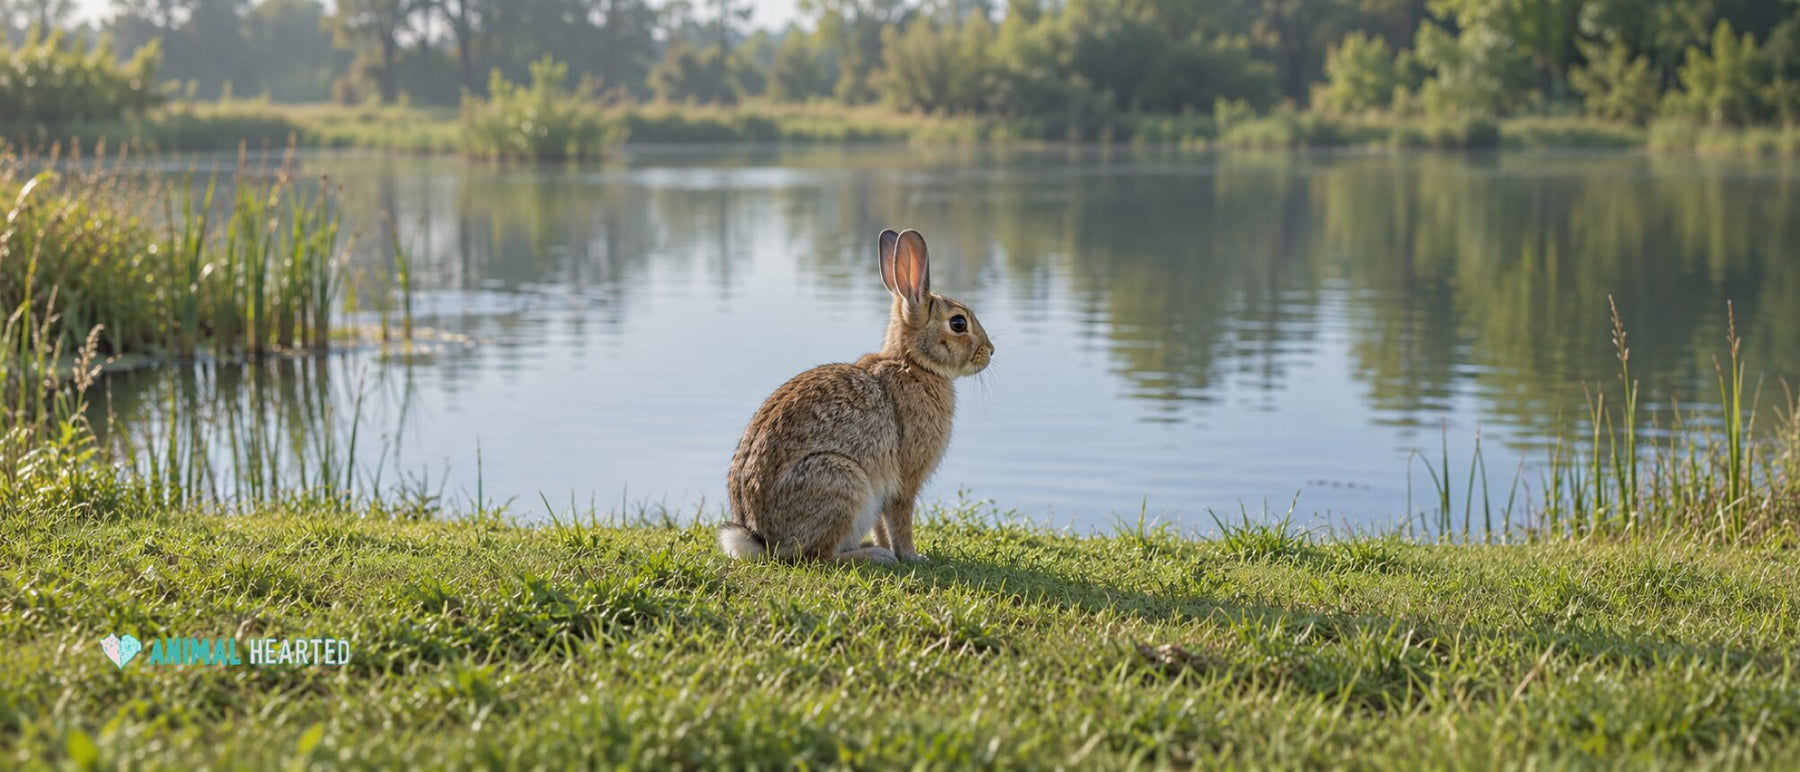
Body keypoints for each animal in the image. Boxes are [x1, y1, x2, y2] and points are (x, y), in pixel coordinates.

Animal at [720, 228, 994, 563]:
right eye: (958, 323)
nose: (990, 351)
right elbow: (901, 519)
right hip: (842, 483)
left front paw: (895, 550)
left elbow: (882, 524)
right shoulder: (904, 479)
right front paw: (912, 556)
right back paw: (874, 556)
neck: (913, 363)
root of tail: (761, 539)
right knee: (818, 556)